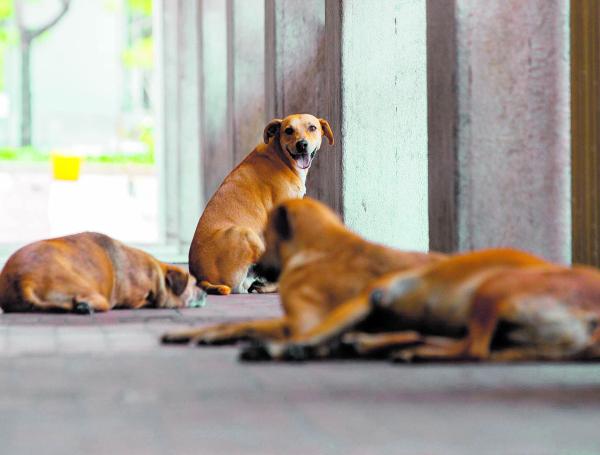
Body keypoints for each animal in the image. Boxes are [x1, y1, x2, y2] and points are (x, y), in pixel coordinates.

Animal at [190, 114, 336, 296]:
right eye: (288, 130)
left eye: (312, 128)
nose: (302, 144)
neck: (281, 157)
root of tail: (201, 278)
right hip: (246, 234)